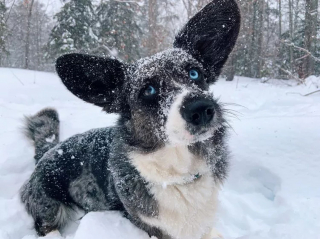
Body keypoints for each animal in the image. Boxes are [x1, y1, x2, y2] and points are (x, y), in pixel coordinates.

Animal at [20, 0, 240, 238]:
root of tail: (49, 150)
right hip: (49, 203)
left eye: (194, 73)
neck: (180, 175)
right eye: (149, 90)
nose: (201, 108)